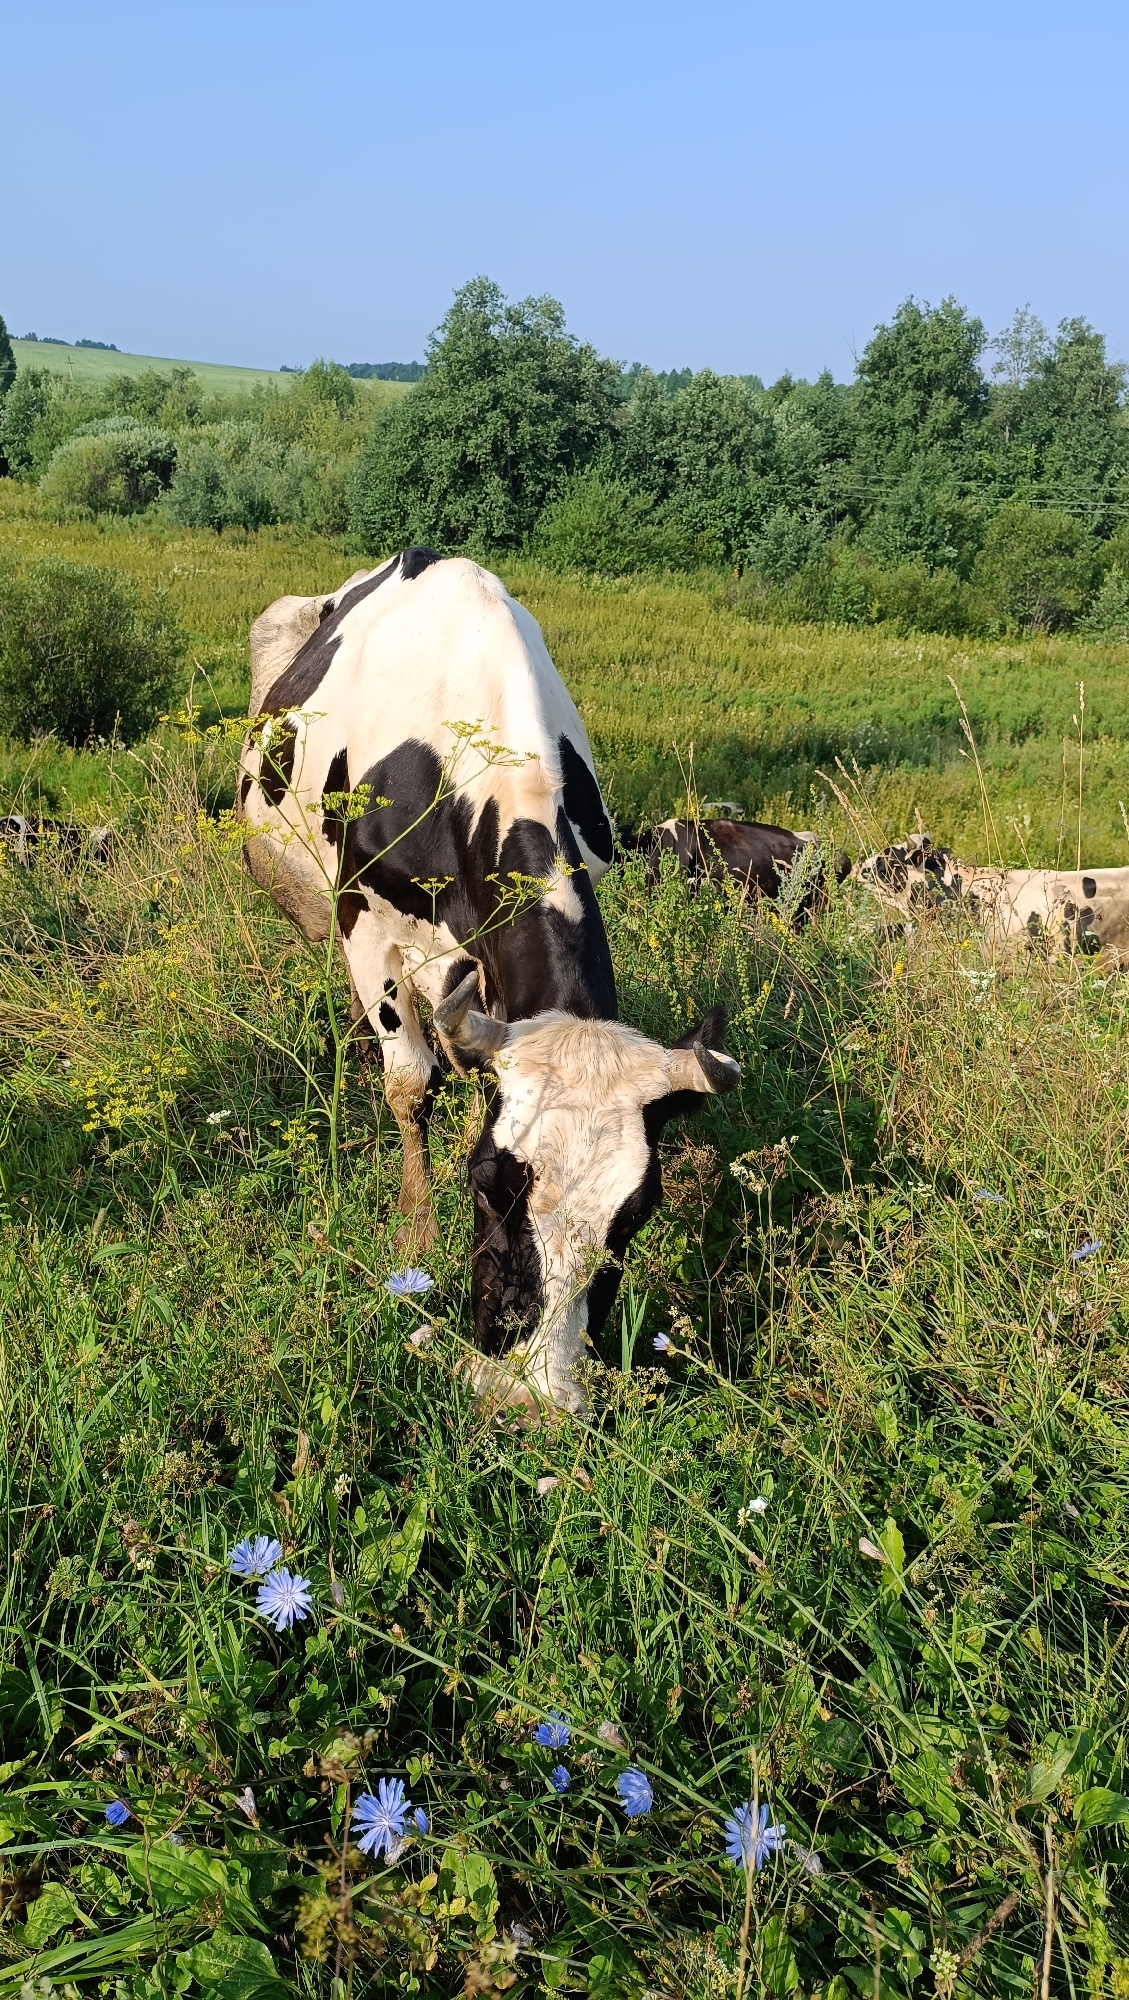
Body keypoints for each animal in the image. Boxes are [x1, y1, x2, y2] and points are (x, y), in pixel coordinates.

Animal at [236, 548, 740, 1413]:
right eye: (483, 1184)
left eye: (637, 1215)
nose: (531, 1402)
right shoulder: (364, 922)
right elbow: (409, 1083)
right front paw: (414, 1230)